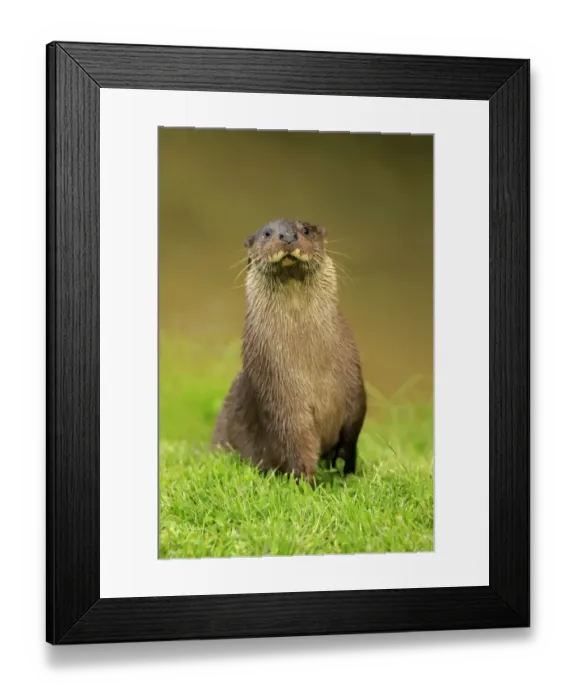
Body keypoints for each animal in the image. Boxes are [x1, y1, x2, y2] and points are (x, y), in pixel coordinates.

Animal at [212, 219, 367, 485]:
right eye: (267, 233)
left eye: (305, 230)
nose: (287, 235)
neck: (310, 362)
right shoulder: (278, 394)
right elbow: (295, 442)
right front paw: (308, 483)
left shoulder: (354, 387)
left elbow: (352, 433)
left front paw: (345, 473)